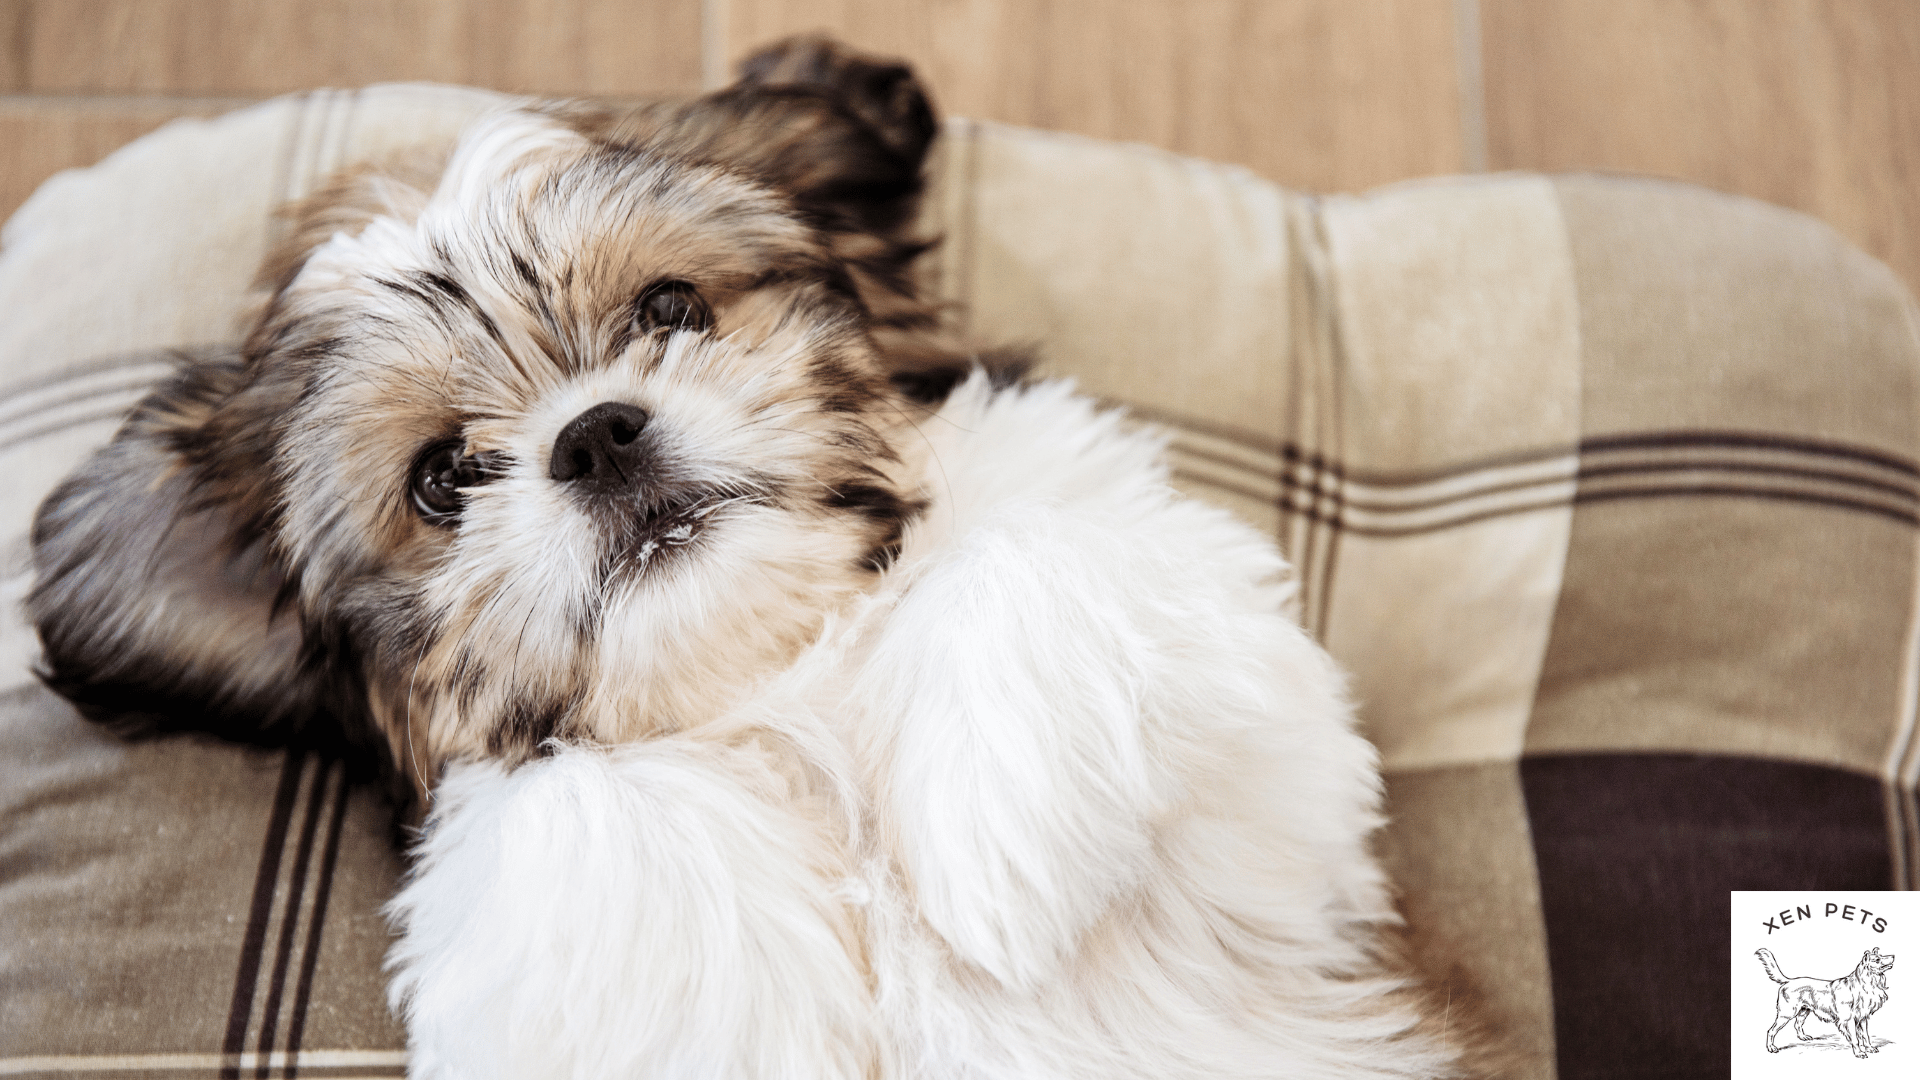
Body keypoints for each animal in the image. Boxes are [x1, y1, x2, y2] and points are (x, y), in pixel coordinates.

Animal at [30, 35, 1459, 1076]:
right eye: (443, 479)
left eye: (671, 307)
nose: (597, 436)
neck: (781, 679)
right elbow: (569, 798)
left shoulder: (1287, 805)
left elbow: (1032, 554)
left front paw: (1004, 855)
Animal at [1758, 941, 1889, 1053]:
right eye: (1877, 959)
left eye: (1881, 956)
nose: (1892, 956)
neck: (1863, 984)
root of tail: (1789, 981)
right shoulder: (1847, 1021)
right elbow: (1855, 1039)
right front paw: (1859, 1053)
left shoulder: (1862, 1018)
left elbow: (1865, 1036)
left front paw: (1869, 1048)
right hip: (1786, 1014)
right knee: (1771, 1031)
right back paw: (1771, 1047)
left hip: (1804, 1011)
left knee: (1797, 1024)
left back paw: (1803, 1037)